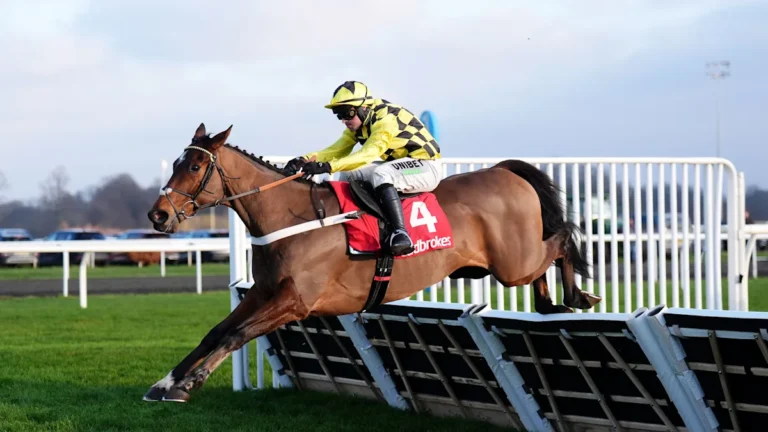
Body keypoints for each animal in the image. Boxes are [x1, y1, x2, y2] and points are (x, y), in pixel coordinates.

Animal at [142, 123, 600, 402]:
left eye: (195, 165)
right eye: (176, 163)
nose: (158, 216)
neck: (291, 216)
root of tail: (505, 171)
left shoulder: (296, 302)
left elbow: (235, 335)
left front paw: (190, 383)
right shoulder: (265, 291)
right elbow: (217, 331)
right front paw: (167, 381)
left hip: (512, 262)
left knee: (561, 240)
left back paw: (578, 295)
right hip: (508, 264)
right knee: (544, 268)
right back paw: (551, 303)